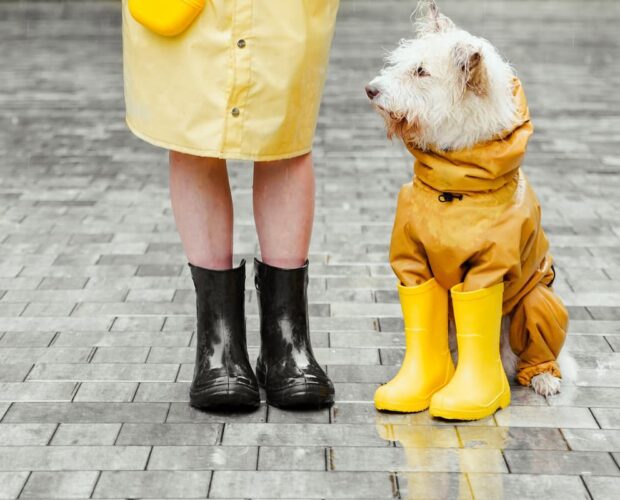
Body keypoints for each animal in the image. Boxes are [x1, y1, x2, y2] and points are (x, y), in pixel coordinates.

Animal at [366, 1, 568, 420]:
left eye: (421, 71)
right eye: (401, 63)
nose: (370, 89)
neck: (455, 183)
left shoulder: (489, 268)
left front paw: (472, 393)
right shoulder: (411, 261)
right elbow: (423, 318)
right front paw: (419, 383)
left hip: (538, 299)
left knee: (530, 348)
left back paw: (540, 375)